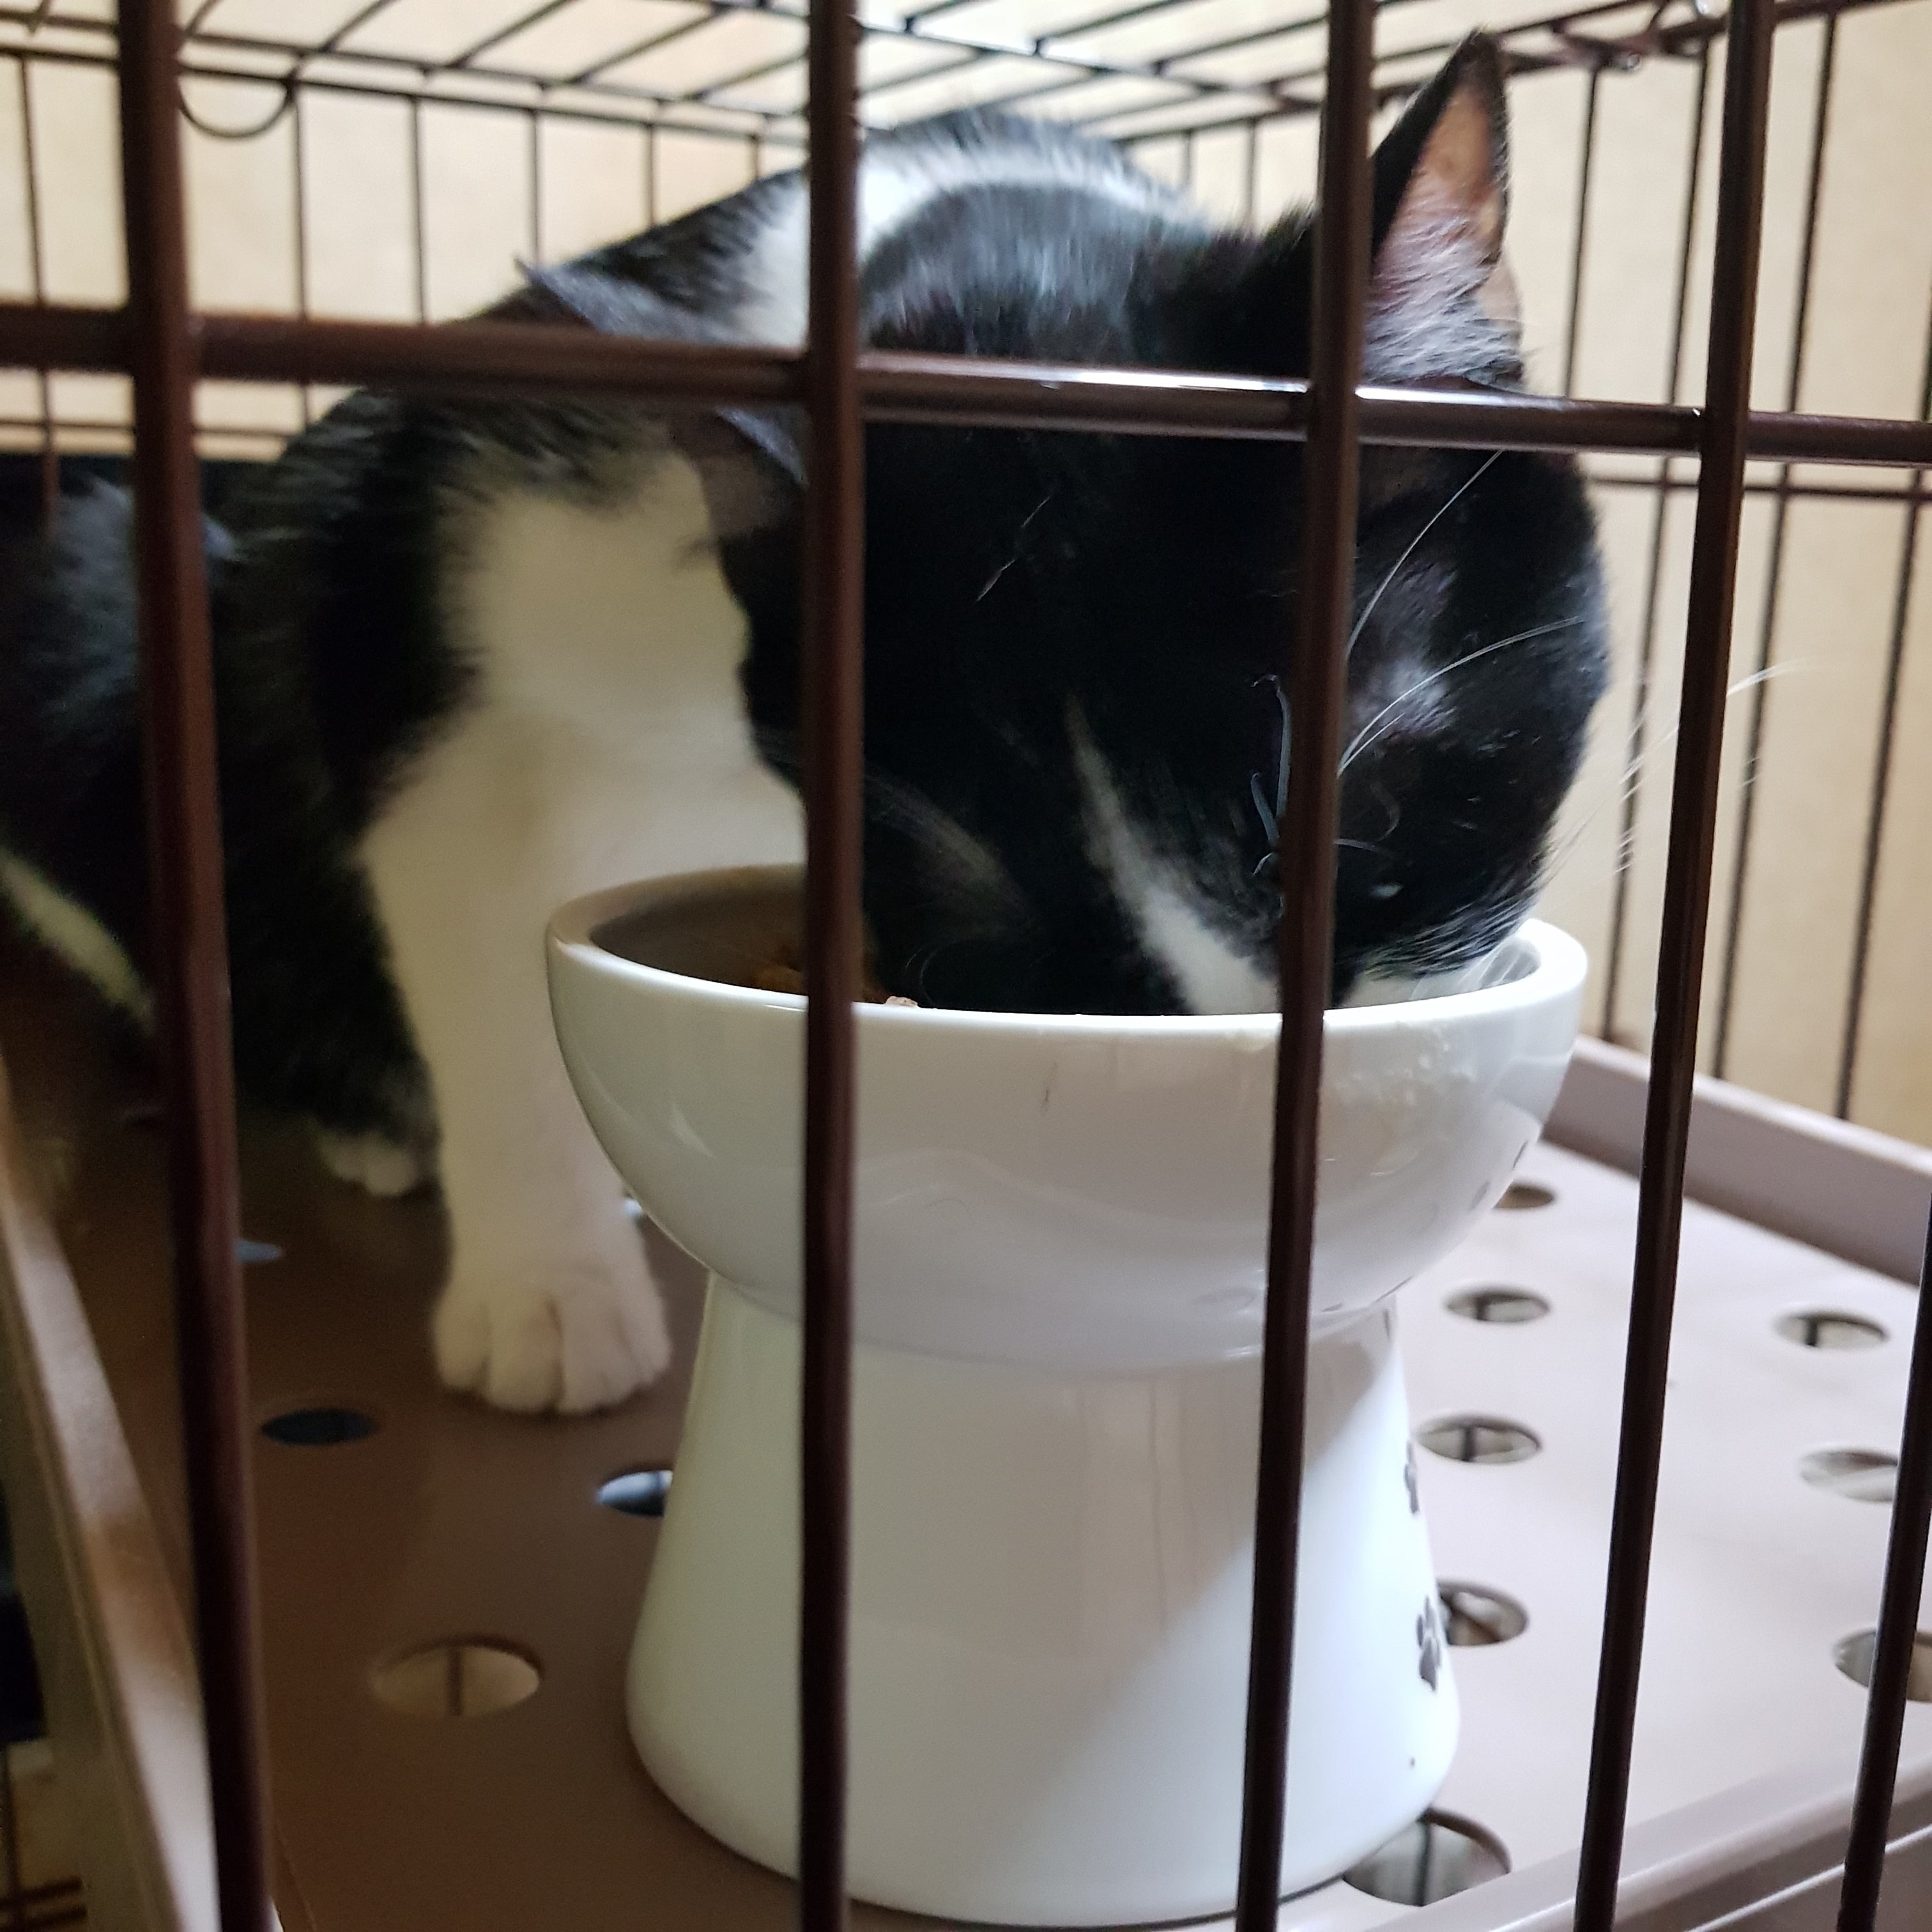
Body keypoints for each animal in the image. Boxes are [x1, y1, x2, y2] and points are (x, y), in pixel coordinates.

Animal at [0, 35, 1606, 1414]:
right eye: (982, 901)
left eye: (1372, 811)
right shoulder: (420, 587)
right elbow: (470, 926)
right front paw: (547, 1291)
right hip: (102, 614)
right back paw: (373, 1124)